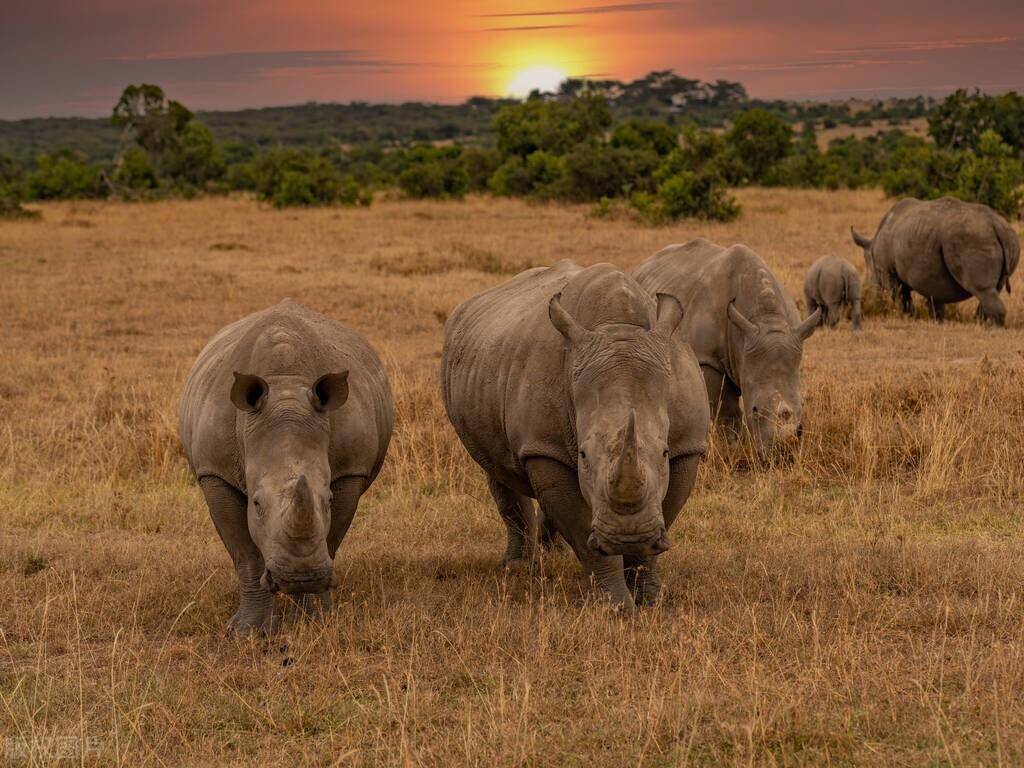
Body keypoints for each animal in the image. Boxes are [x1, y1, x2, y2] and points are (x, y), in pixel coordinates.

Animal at [180, 296, 391, 634]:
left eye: (328, 500)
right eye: (256, 504)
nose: (299, 577)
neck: (286, 388)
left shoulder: (350, 470)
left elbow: (331, 539)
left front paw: (316, 620)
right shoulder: (215, 472)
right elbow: (246, 555)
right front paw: (247, 632)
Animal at [440, 262, 712, 610]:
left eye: (663, 453)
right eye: (583, 455)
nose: (627, 536)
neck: (616, 327)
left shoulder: (687, 445)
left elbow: (666, 509)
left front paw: (649, 599)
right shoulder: (545, 448)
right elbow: (582, 530)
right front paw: (614, 606)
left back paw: (552, 556)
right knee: (496, 469)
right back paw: (517, 569)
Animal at [634, 240, 819, 454]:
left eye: (803, 404)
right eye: (755, 410)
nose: (783, 452)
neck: (766, 318)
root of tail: (643, 265)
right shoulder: (708, 359)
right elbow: (726, 409)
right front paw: (732, 446)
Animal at [851, 196, 1019, 325]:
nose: (865, 294)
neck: (872, 247)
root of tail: (997, 225)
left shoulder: (888, 272)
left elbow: (900, 297)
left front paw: (908, 318)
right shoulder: (931, 276)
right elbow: (935, 300)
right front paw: (936, 321)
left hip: (973, 238)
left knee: (982, 290)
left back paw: (994, 328)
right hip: (1009, 239)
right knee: (993, 289)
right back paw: (980, 324)